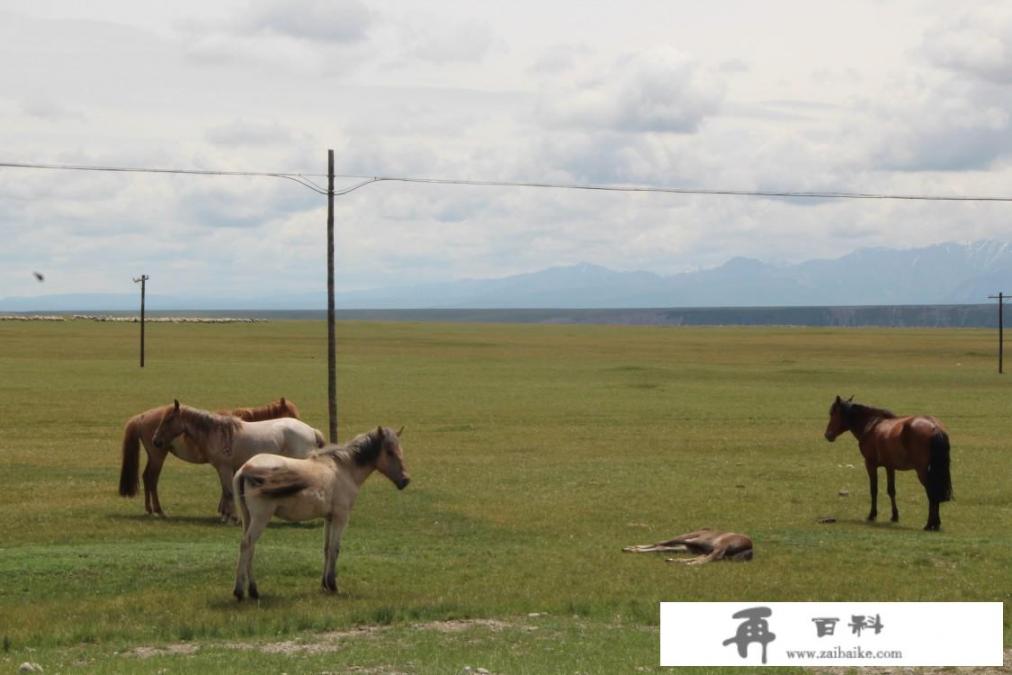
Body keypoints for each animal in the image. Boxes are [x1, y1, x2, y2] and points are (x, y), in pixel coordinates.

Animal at [119, 398, 299, 522]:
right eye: (292, 415)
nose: (301, 424)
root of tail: (142, 416)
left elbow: (227, 489)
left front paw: (224, 512)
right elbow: (228, 490)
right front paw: (226, 513)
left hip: (154, 455)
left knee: (147, 477)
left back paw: (150, 509)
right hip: (158, 455)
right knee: (152, 479)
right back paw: (157, 510)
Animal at [619, 526, 756, 566]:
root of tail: (749, 547)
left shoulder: (688, 540)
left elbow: (660, 542)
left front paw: (631, 548)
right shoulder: (688, 547)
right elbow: (661, 546)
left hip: (715, 547)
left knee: (707, 559)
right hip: (705, 549)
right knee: (703, 558)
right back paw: (671, 560)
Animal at [817, 396, 951, 534]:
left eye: (833, 413)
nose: (827, 435)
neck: (871, 425)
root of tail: (934, 427)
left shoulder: (870, 464)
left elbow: (874, 490)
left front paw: (872, 515)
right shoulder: (890, 466)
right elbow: (891, 491)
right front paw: (894, 516)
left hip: (922, 471)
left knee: (932, 493)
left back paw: (930, 524)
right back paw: (936, 524)